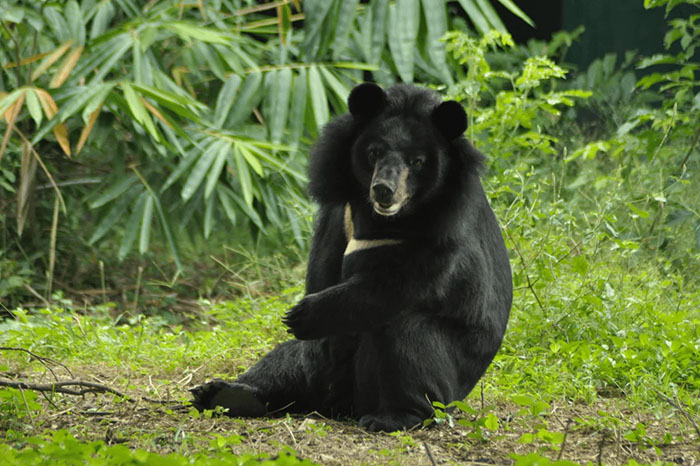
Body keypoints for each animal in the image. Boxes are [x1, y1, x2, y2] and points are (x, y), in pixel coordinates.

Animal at [190, 83, 513, 432]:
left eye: (416, 161)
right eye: (374, 153)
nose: (384, 190)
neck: (384, 219)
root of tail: (341, 404)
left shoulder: (443, 230)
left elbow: (398, 284)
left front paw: (300, 314)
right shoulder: (337, 212)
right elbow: (322, 273)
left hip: (441, 377)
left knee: (408, 338)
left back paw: (394, 415)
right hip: (318, 370)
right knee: (285, 361)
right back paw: (224, 393)